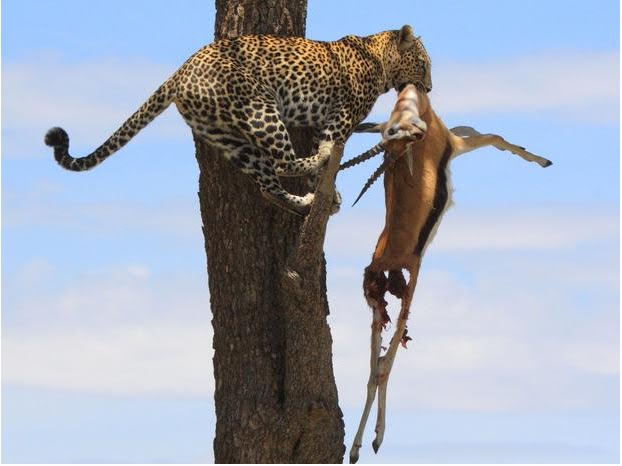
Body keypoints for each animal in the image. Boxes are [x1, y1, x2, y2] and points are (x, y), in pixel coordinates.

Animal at [45, 24, 434, 216]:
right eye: (424, 64)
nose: (429, 87)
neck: (378, 57)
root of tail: (179, 72)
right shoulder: (340, 116)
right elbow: (330, 146)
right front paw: (328, 176)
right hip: (261, 109)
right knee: (283, 163)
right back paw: (317, 167)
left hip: (230, 138)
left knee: (268, 184)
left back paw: (304, 203)